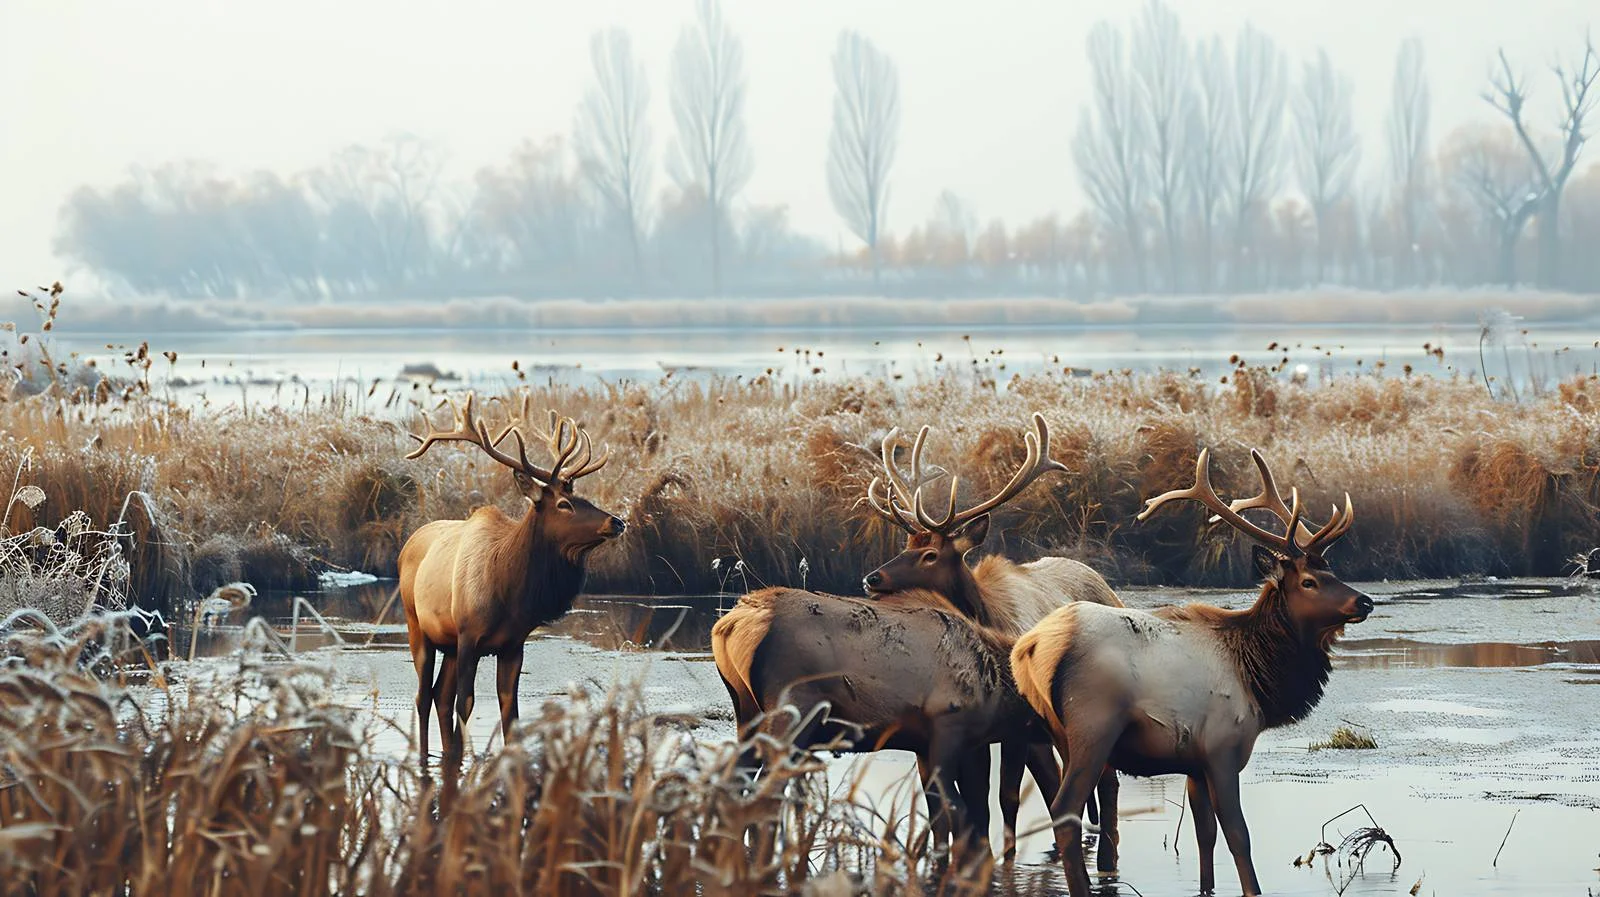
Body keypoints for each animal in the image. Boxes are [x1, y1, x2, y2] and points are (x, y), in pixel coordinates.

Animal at [399, 392, 626, 776]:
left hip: (448, 644)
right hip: (419, 627)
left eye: (583, 497)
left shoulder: (513, 644)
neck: (509, 591)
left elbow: (510, 709)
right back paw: (425, 758)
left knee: (439, 695)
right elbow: (465, 703)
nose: (617, 521)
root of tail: (406, 544)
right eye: (564, 504)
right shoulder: (469, 636)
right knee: (423, 695)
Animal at [712, 413, 1124, 860]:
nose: (871, 578)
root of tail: (732, 626)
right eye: (906, 542)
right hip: (791, 707)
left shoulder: (945, 739)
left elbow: (966, 808)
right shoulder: (957, 726)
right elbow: (971, 809)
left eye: (929, 554)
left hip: (746, 709)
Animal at [1009, 447, 1371, 897]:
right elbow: (1238, 835)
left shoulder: (1194, 763)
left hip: (1059, 731)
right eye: (1308, 581)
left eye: (1332, 572)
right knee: (1065, 810)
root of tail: (1030, 648)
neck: (1258, 679)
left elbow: (1205, 837)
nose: (1365, 601)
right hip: (1093, 725)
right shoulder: (1222, 747)